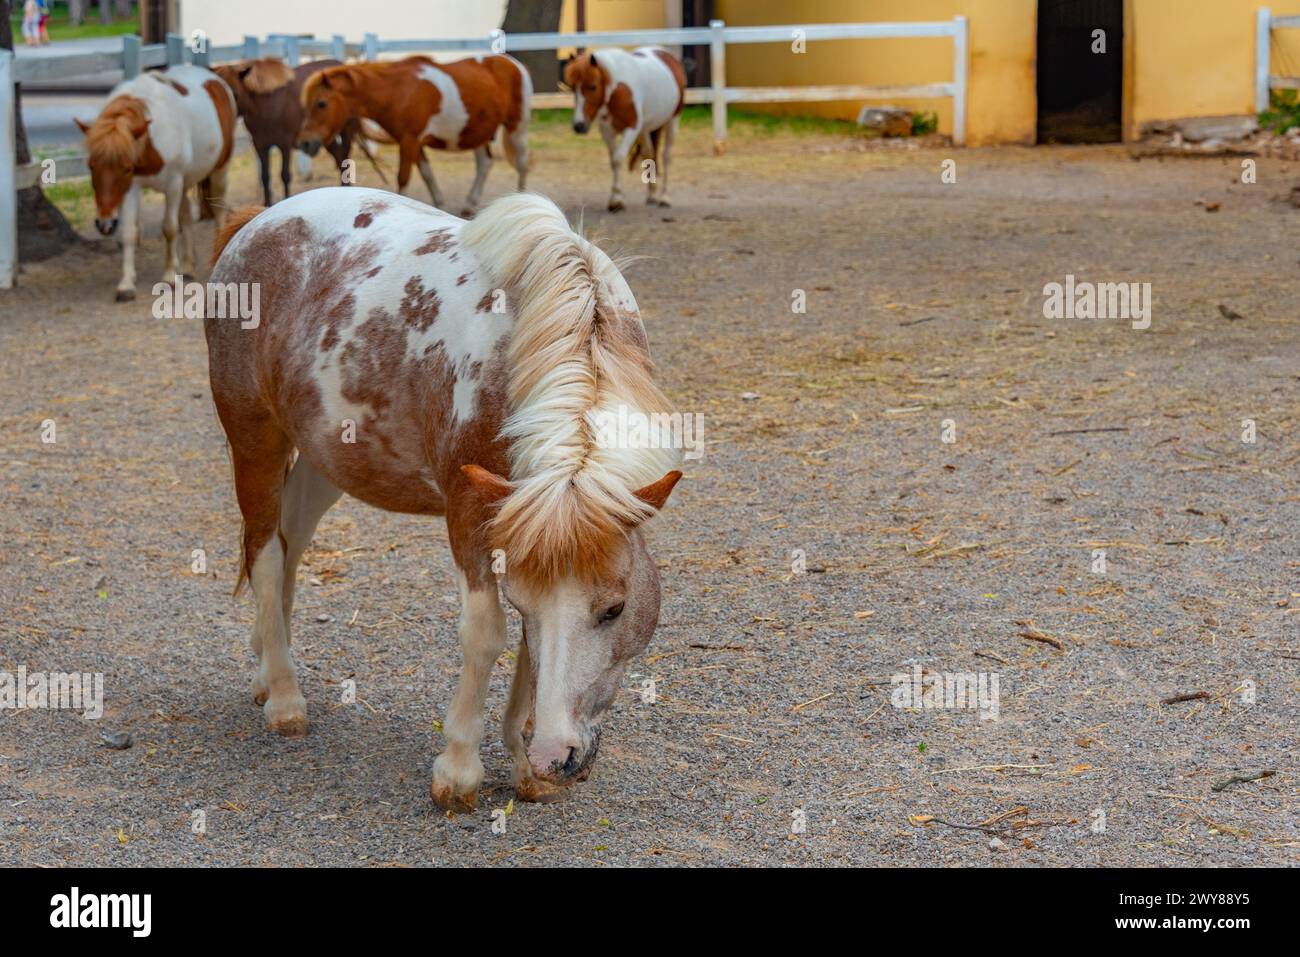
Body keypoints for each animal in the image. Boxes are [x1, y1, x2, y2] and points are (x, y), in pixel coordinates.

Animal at [77, 63, 235, 299]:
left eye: (126, 167)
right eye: (91, 165)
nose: (105, 224)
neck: (151, 139)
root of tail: (214, 78)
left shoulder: (172, 184)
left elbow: (169, 228)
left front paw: (169, 277)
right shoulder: (132, 187)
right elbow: (129, 232)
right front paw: (126, 284)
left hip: (218, 171)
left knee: (218, 211)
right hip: (185, 183)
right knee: (186, 218)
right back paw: (187, 266)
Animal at [202, 184, 681, 806]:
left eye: (614, 609)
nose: (557, 756)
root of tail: (255, 222)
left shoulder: (523, 523)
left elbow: (525, 649)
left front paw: (522, 762)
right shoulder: (471, 509)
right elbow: (486, 635)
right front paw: (459, 768)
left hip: (324, 456)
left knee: (290, 543)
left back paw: (266, 668)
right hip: (254, 438)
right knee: (264, 551)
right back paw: (284, 697)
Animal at [297, 54, 530, 217]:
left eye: (321, 103)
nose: (305, 142)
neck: (396, 91)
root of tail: (511, 63)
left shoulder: (409, 141)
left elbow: (403, 178)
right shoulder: (415, 143)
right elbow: (427, 175)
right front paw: (439, 205)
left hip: (516, 129)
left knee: (522, 164)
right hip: (478, 132)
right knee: (485, 164)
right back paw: (470, 205)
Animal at [561, 46, 686, 209]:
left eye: (593, 86)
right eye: (572, 88)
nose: (579, 125)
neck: (617, 89)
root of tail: (667, 55)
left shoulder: (631, 129)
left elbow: (618, 158)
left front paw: (617, 200)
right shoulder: (607, 131)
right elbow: (613, 161)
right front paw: (616, 197)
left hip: (673, 120)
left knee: (666, 157)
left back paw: (665, 197)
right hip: (645, 129)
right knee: (649, 154)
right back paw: (652, 195)